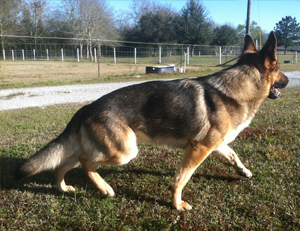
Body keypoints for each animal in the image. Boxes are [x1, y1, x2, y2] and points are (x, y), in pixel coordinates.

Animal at [15, 31, 288, 210]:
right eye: (278, 69)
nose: (287, 80)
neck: (236, 87)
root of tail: (87, 107)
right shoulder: (199, 148)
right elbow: (181, 179)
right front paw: (177, 205)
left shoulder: (215, 145)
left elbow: (234, 156)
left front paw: (244, 171)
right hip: (124, 152)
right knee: (84, 161)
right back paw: (105, 189)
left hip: (107, 148)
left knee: (64, 163)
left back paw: (62, 188)